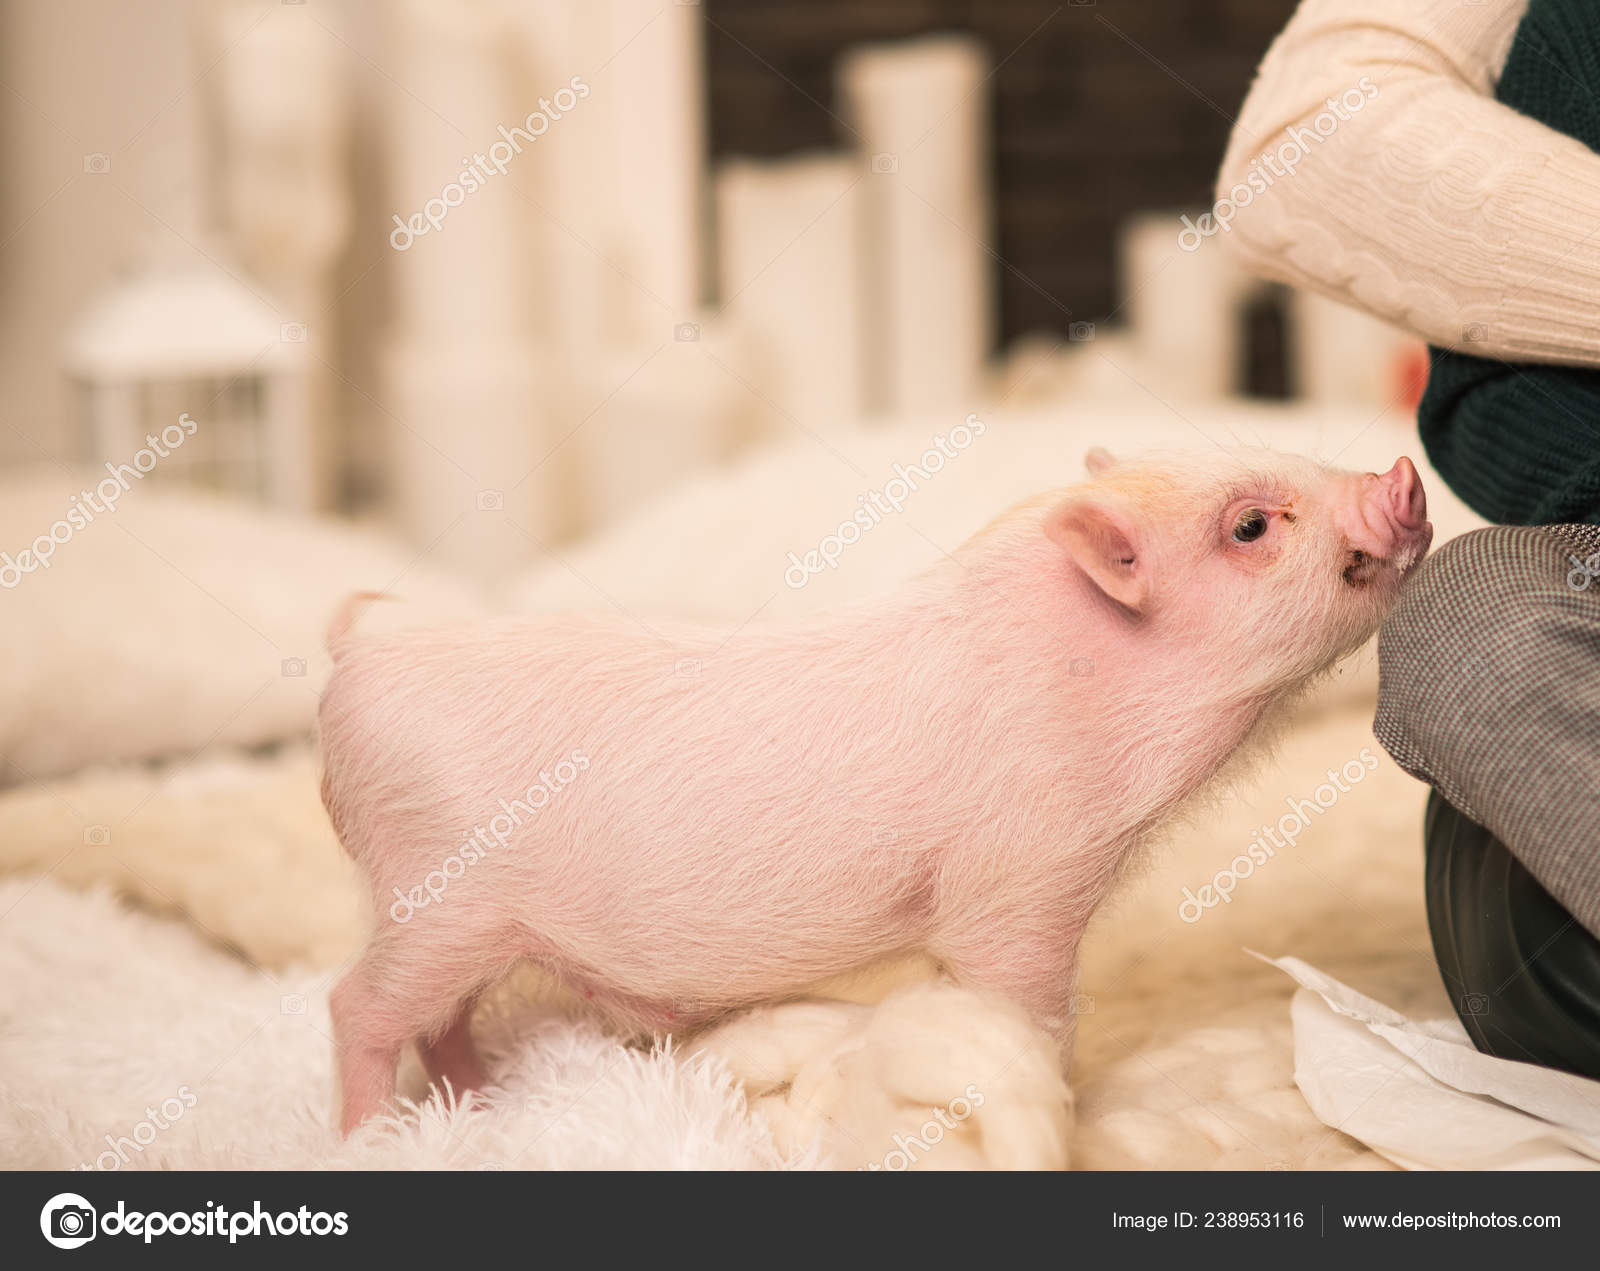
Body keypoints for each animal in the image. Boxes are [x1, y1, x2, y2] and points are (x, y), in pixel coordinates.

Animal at [318, 447, 1431, 1133]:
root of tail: (361, 649)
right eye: (1249, 526)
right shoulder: (1016, 885)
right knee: (357, 1005)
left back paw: (480, 1108)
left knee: (441, 1019)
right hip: (433, 891)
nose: (1401, 475)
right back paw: (376, 1139)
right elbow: (1021, 1012)